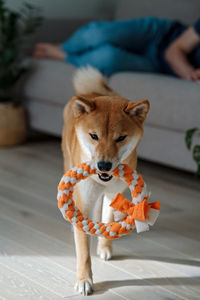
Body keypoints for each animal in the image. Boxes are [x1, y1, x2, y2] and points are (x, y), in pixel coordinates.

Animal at [61, 66, 149, 296]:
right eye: (94, 136)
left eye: (121, 138)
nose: (103, 165)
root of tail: (92, 92)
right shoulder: (84, 199)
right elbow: (83, 250)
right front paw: (84, 280)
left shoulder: (114, 193)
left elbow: (107, 221)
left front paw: (105, 247)